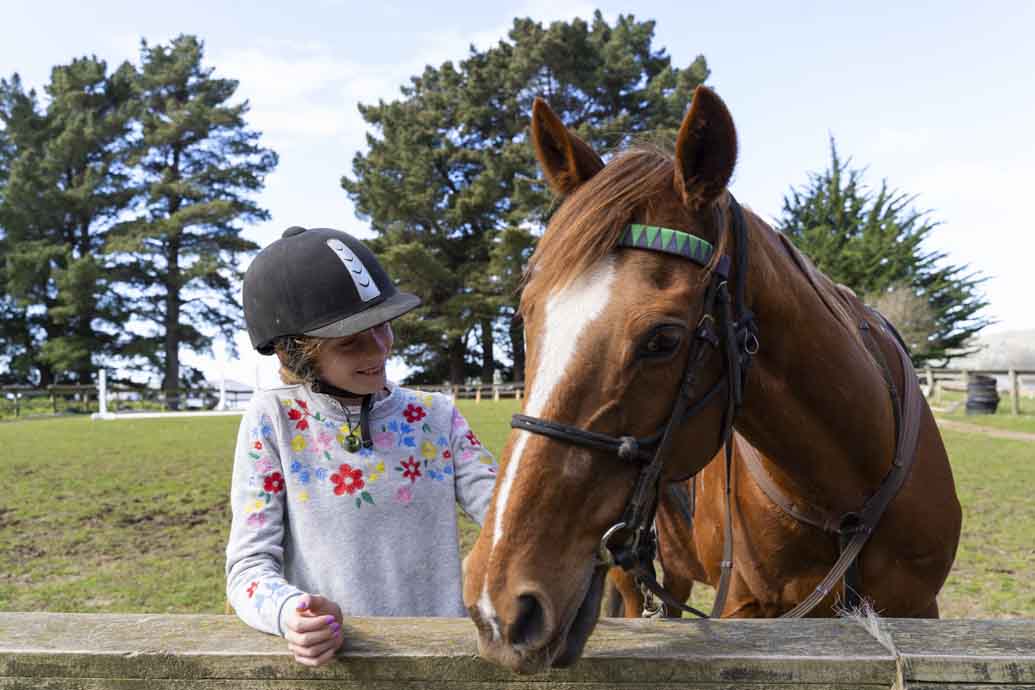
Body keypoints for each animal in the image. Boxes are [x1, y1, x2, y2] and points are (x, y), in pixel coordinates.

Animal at [461, 86, 960, 674]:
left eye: (663, 339)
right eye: (527, 315)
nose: (497, 602)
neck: (845, 496)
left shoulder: (918, 609)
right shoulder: (747, 611)